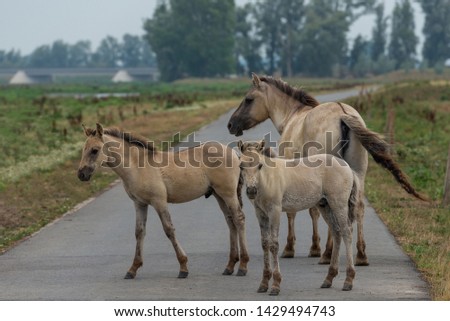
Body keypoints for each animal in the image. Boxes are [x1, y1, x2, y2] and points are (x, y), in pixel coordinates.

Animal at [75, 124, 248, 278]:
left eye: (95, 150)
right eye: (84, 149)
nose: (81, 174)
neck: (138, 167)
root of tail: (233, 153)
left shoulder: (159, 202)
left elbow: (169, 230)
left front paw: (183, 267)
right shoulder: (140, 204)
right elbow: (139, 232)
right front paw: (133, 269)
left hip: (228, 194)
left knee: (238, 219)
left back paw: (243, 266)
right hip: (219, 195)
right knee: (230, 221)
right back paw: (230, 266)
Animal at [227, 73, 428, 264]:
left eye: (248, 99)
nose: (231, 124)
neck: (293, 117)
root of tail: (343, 115)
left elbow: (300, 211)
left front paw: (297, 248)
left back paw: (328, 253)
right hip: (357, 174)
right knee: (358, 207)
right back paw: (361, 255)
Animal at [239, 139, 362, 294]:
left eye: (260, 165)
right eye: (241, 166)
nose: (251, 191)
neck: (267, 179)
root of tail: (348, 168)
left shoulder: (275, 211)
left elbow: (274, 244)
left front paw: (276, 285)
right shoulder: (260, 213)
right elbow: (265, 243)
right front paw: (264, 283)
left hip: (339, 204)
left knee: (347, 232)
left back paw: (348, 280)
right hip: (325, 206)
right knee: (336, 232)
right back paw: (329, 278)